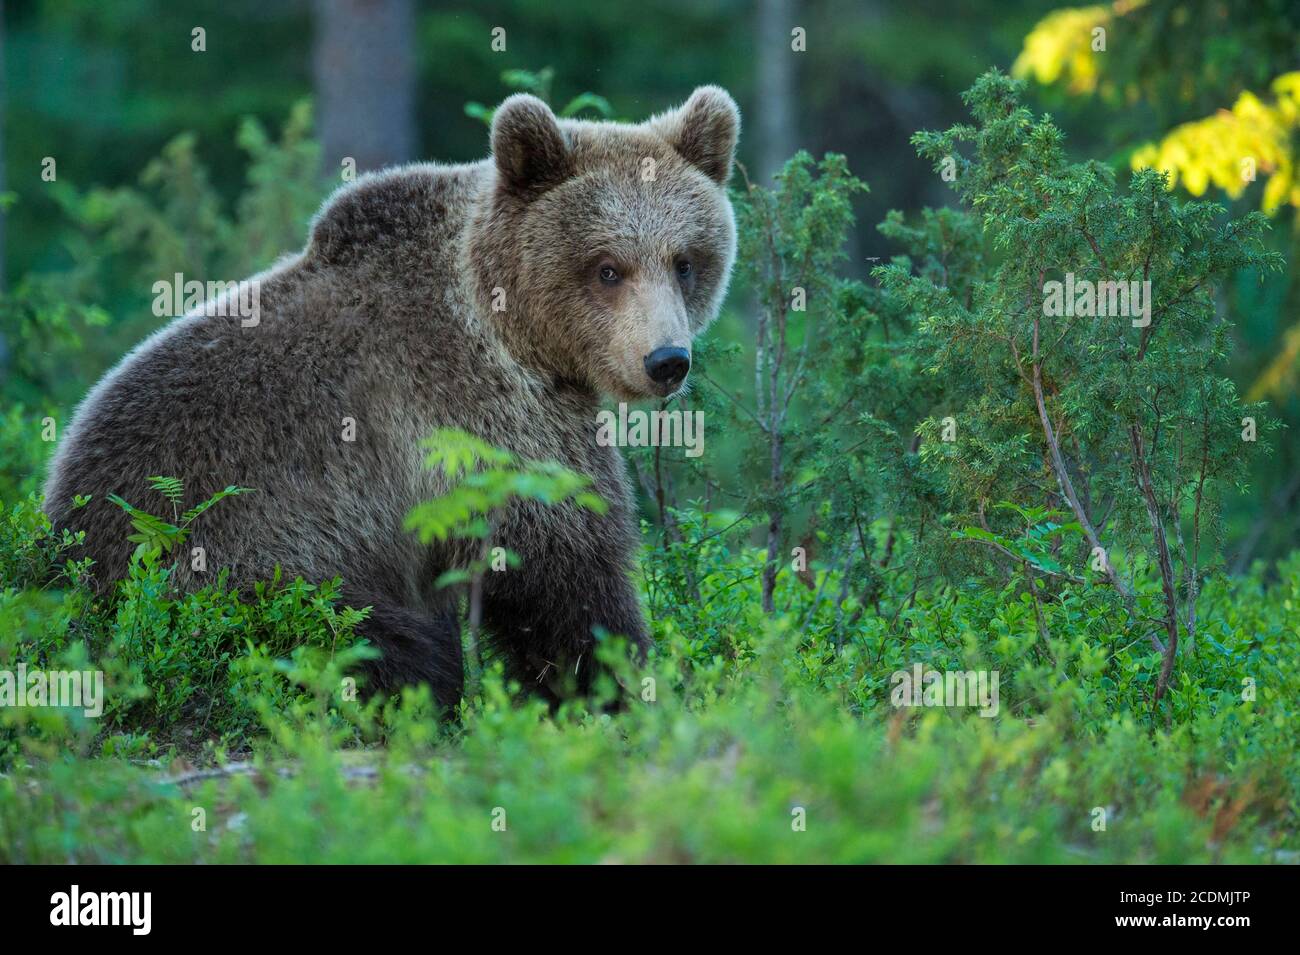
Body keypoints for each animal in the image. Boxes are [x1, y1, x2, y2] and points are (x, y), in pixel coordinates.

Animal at [40, 85, 743, 712]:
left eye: (685, 260)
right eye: (606, 267)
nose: (666, 361)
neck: (512, 329)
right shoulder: (476, 414)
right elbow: (561, 561)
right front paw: (615, 686)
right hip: (238, 562)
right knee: (373, 641)